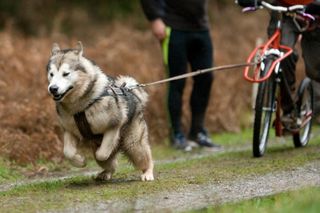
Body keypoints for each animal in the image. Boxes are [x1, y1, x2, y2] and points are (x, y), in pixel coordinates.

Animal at [46, 42, 154, 181]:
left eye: (66, 74)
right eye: (51, 74)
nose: (53, 88)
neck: (80, 106)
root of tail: (131, 91)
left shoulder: (114, 126)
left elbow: (102, 154)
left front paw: (98, 154)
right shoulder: (69, 130)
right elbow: (68, 152)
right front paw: (80, 161)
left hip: (134, 144)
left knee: (144, 157)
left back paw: (148, 173)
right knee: (111, 165)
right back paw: (106, 173)